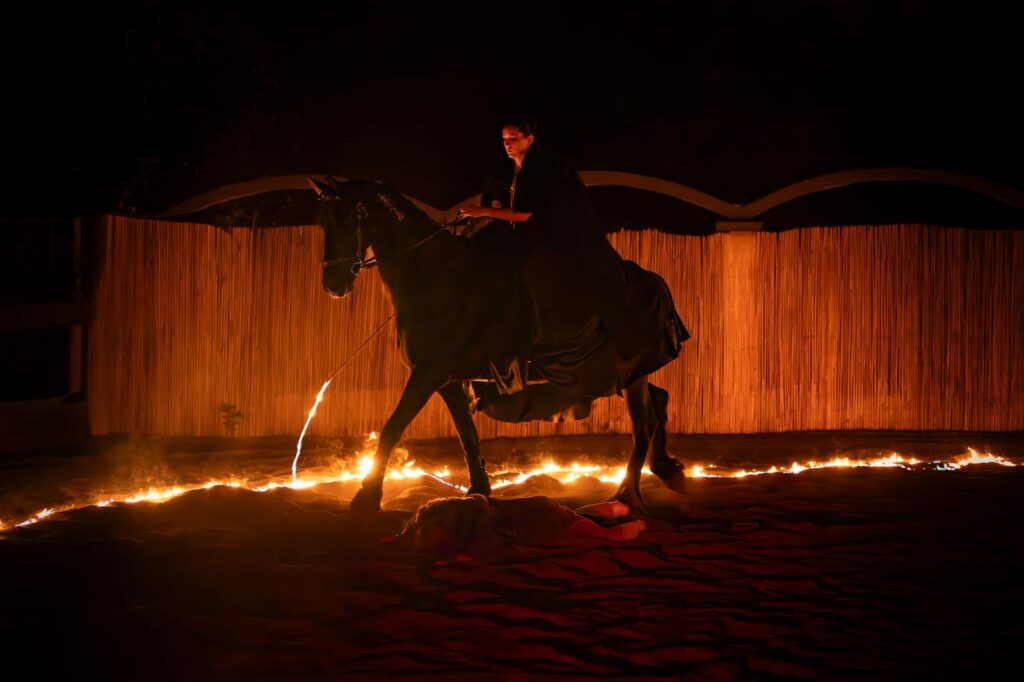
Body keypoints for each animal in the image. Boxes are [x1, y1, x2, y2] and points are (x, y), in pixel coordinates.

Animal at [309, 175, 688, 509]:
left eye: (345, 216)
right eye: (324, 220)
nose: (333, 285)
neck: (434, 278)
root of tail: (652, 280)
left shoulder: (429, 374)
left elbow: (393, 427)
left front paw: (367, 496)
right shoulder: (446, 380)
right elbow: (466, 433)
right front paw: (479, 488)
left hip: (624, 373)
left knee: (644, 423)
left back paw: (627, 495)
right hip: (622, 375)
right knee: (659, 401)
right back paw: (665, 471)